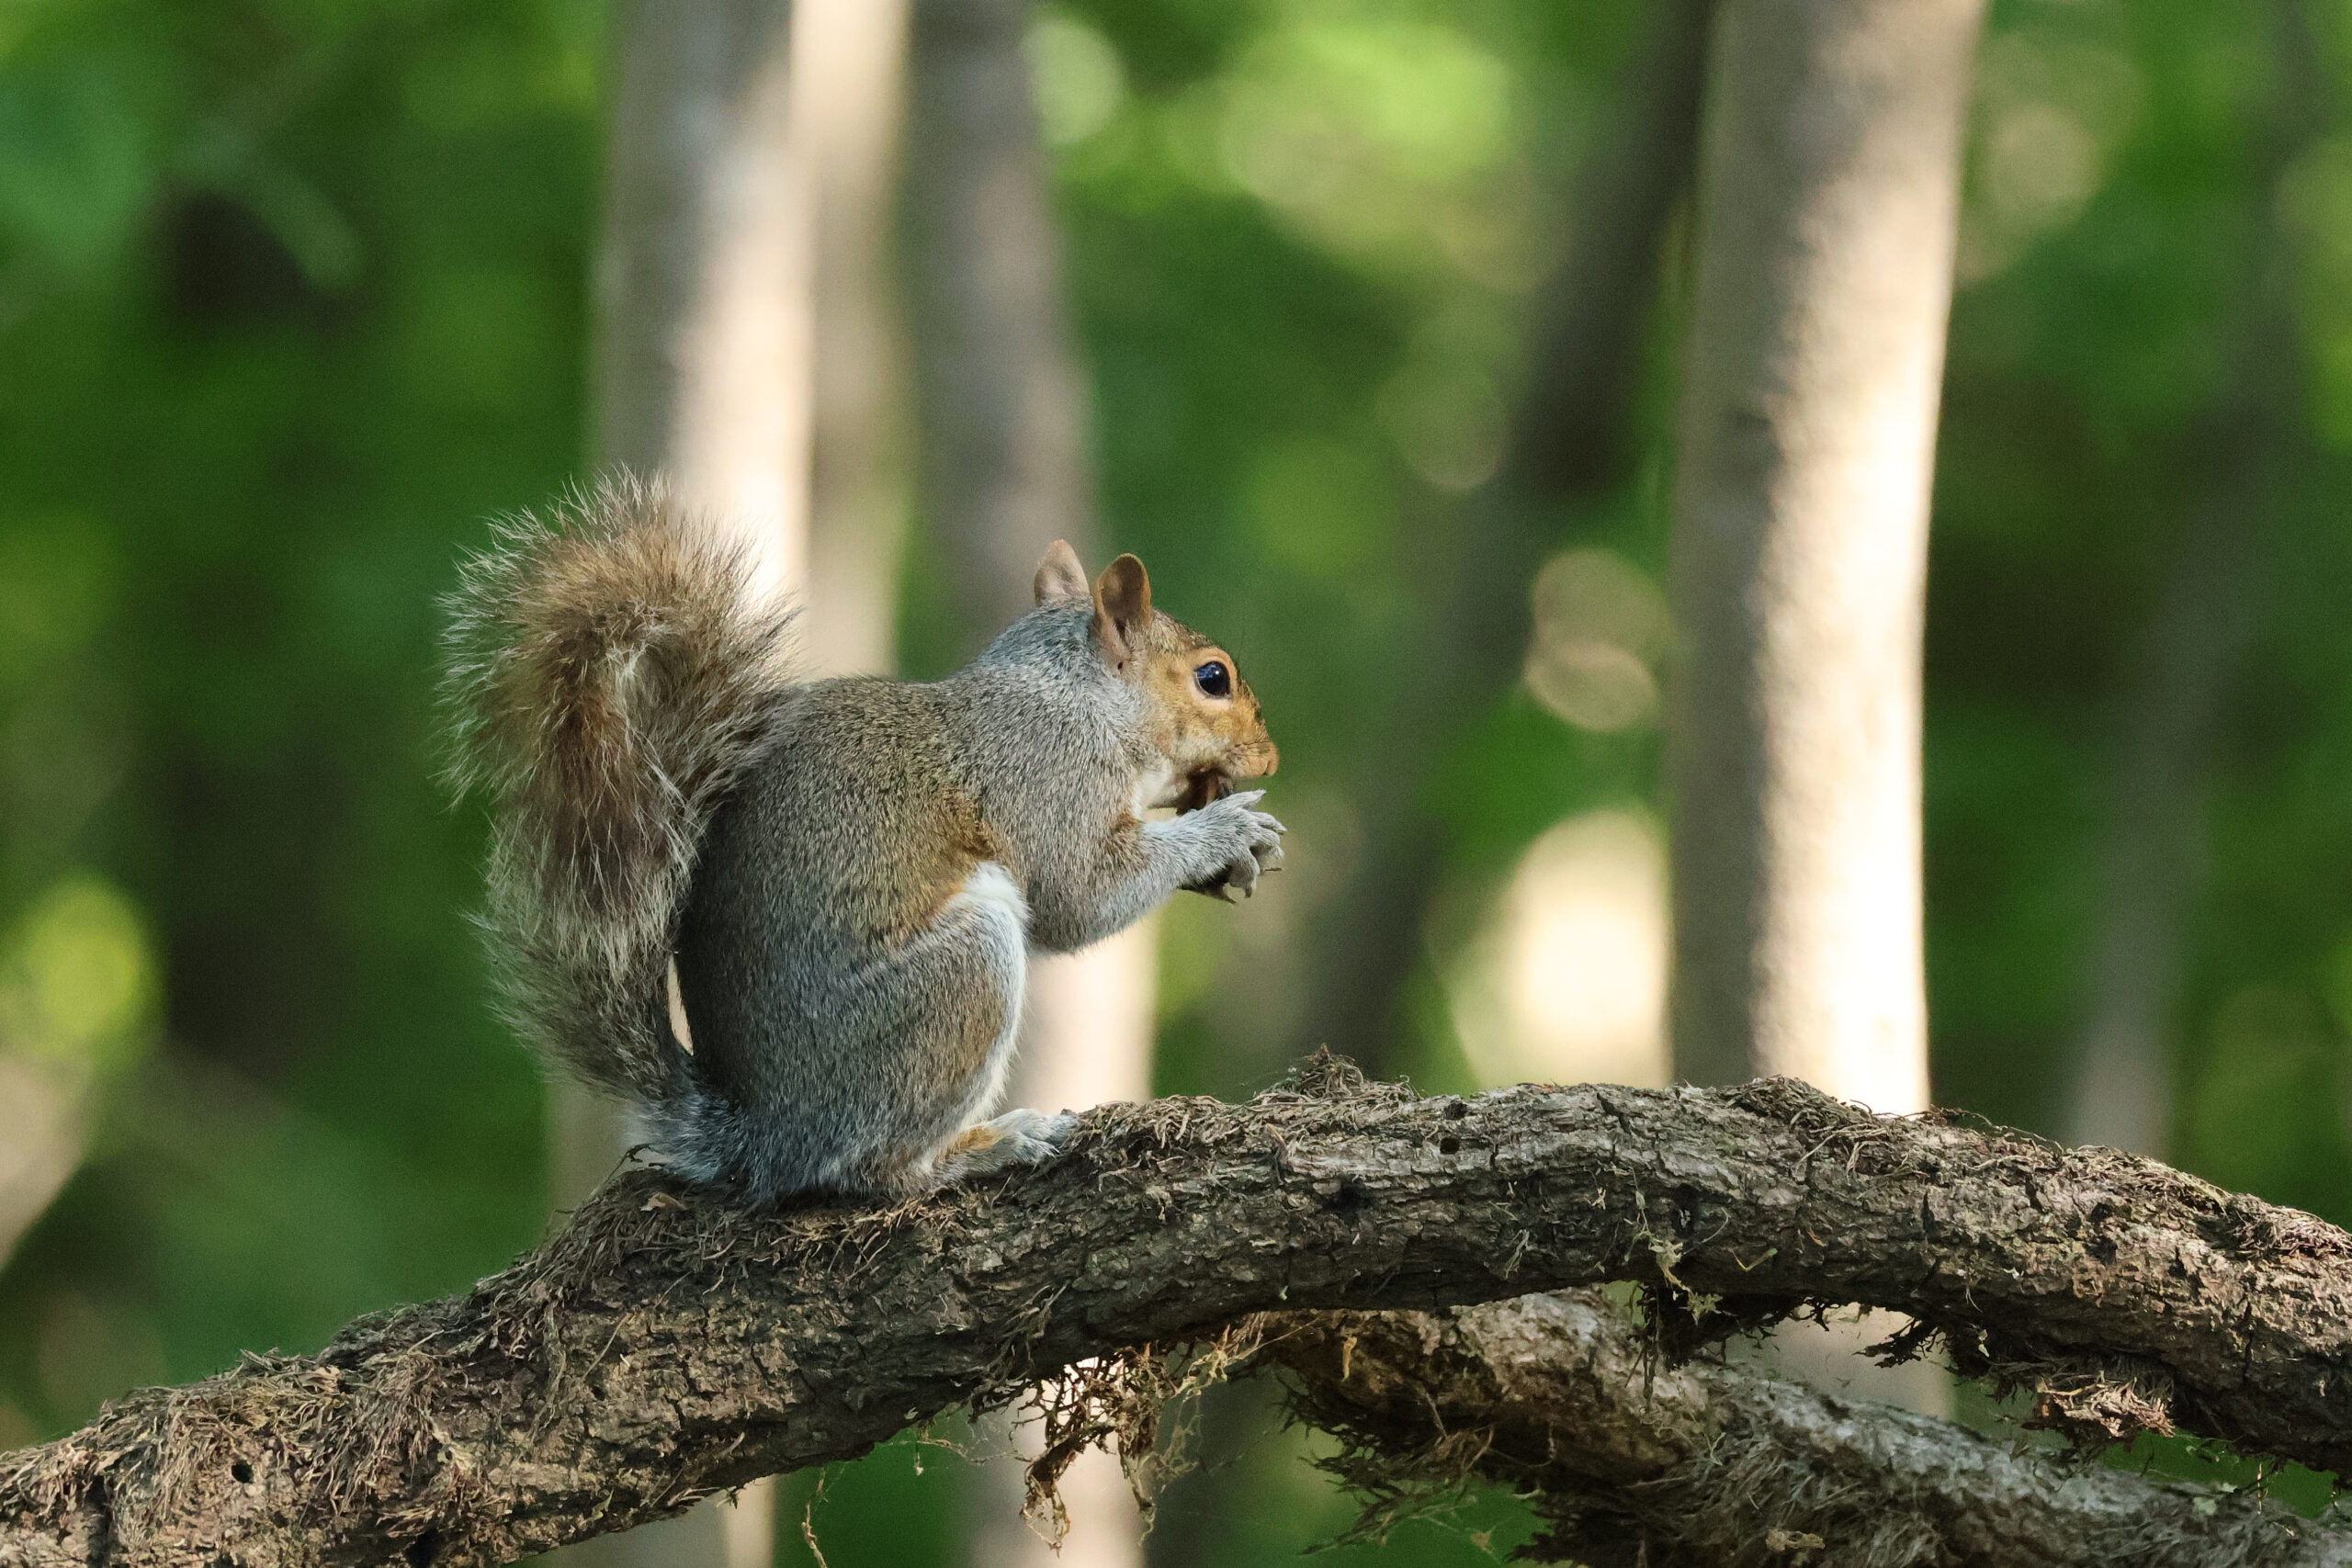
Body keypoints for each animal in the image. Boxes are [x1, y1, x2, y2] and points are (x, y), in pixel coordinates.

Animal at [442, 478, 1283, 1201]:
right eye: (1212, 678)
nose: (1270, 758)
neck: (1073, 697)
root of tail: (764, 1135)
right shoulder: (1046, 777)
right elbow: (1082, 894)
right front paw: (1225, 827)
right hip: (956, 984)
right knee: (873, 1169)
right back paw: (986, 1146)